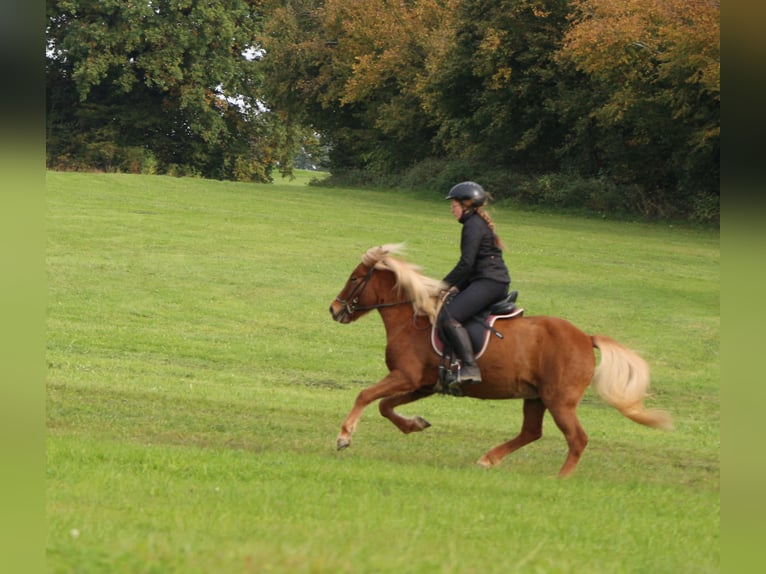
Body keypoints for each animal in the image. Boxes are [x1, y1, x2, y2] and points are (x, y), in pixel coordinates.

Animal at [328, 244, 673, 478]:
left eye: (354, 278)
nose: (334, 309)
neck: (414, 320)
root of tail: (585, 338)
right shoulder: (422, 384)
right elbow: (386, 407)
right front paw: (415, 424)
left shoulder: (406, 376)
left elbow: (366, 395)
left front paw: (344, 436)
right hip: (536, 397)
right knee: (532, 433)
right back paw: (488, 459)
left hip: (559, 400)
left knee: (577, 439)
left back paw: (559, 479)